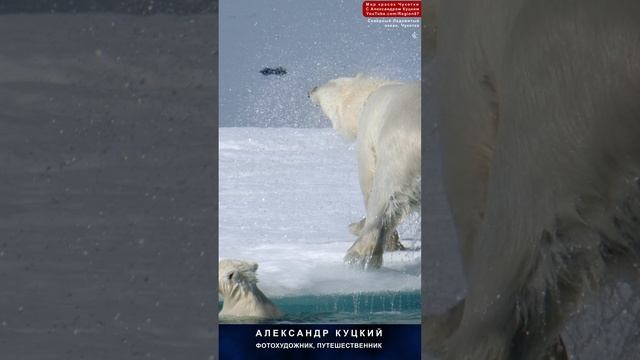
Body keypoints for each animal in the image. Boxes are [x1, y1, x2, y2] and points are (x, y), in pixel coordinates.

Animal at [308, 74, 420, 270]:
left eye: (328, 83)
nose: (310, 90)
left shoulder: (370, 136)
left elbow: (370, 185)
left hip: (401, 156)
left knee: (384, 197)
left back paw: (356, 254)